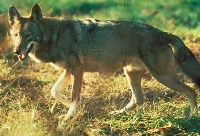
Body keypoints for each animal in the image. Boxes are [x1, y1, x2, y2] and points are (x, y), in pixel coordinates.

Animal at [8, 3, 200, 119]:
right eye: (16, 35)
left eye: (28, 35)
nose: (16, 51)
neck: (55, 35)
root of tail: (162, 32)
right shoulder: (68, 71)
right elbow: (54, 91)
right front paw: (67, 104)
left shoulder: (77, 70)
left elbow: (75, 96)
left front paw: (69, 116)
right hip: (131, 73)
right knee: (138, 99)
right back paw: (118, 113)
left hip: (161, 76)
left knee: (190, 91)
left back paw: (191, 117)